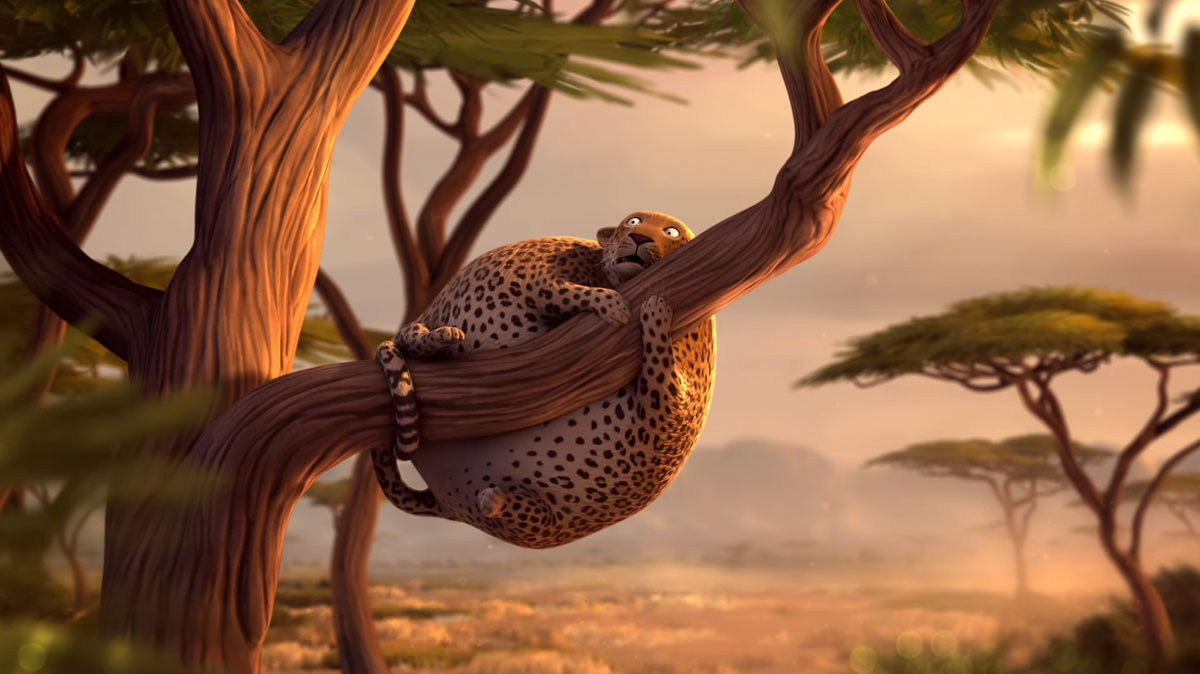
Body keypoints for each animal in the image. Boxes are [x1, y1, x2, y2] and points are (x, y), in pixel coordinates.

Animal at [373, 211, 716, 549]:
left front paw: (655, 311)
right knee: (410, 339)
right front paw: (618, 305)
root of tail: (443, 501)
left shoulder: (674, 406)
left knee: (505, 509)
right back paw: (443, 337)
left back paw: (492, 499)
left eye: (671, 232)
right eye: (632, 221)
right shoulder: (536, 276)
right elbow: (568, 292)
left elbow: (660, 358)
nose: (640, 237)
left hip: (538, 520)